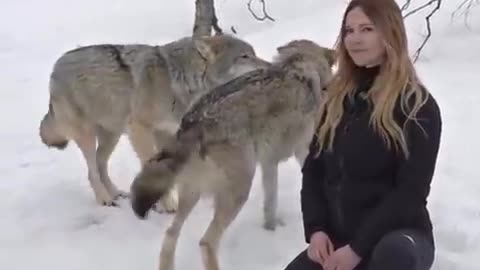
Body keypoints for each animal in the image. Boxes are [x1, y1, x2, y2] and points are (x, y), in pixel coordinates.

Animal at [38, 34, 270, 210]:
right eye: (244, 56)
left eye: (253, 53)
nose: (269, 67)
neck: (180, 81)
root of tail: (55, 67)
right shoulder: (140, 129)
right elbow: (150, 163)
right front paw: (167, 204)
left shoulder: (167, 133)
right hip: (89, 135)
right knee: (92, 170)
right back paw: (104, 199)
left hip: (112, 136)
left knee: (100, 163)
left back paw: (115, 193)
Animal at [128, 39, 334, 270]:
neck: (299, 68)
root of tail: (194, 121)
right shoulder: (302, 152)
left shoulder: (269, 162)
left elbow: (270, 203)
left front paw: (270, 229)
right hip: (239, 190)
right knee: (206, 242)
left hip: (193, 193)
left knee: (171, 233)